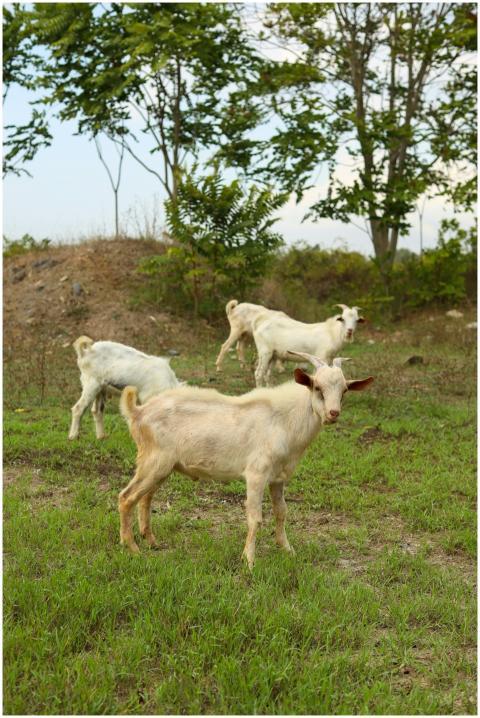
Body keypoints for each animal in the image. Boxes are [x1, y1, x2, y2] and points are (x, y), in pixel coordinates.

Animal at [118, 352, 373, 568]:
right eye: (317, 387)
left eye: (345, 391)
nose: (333, 413)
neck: (284, 421)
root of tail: (138, 412)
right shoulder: (256, 473)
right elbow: (255, 518)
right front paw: (249, 561)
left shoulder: (278, 477)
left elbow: (282, 511)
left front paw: (287, 550)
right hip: (153, 461)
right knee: (126, 497)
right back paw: (132, 548)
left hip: (163, 467)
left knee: (145, 498)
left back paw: (152, 542)